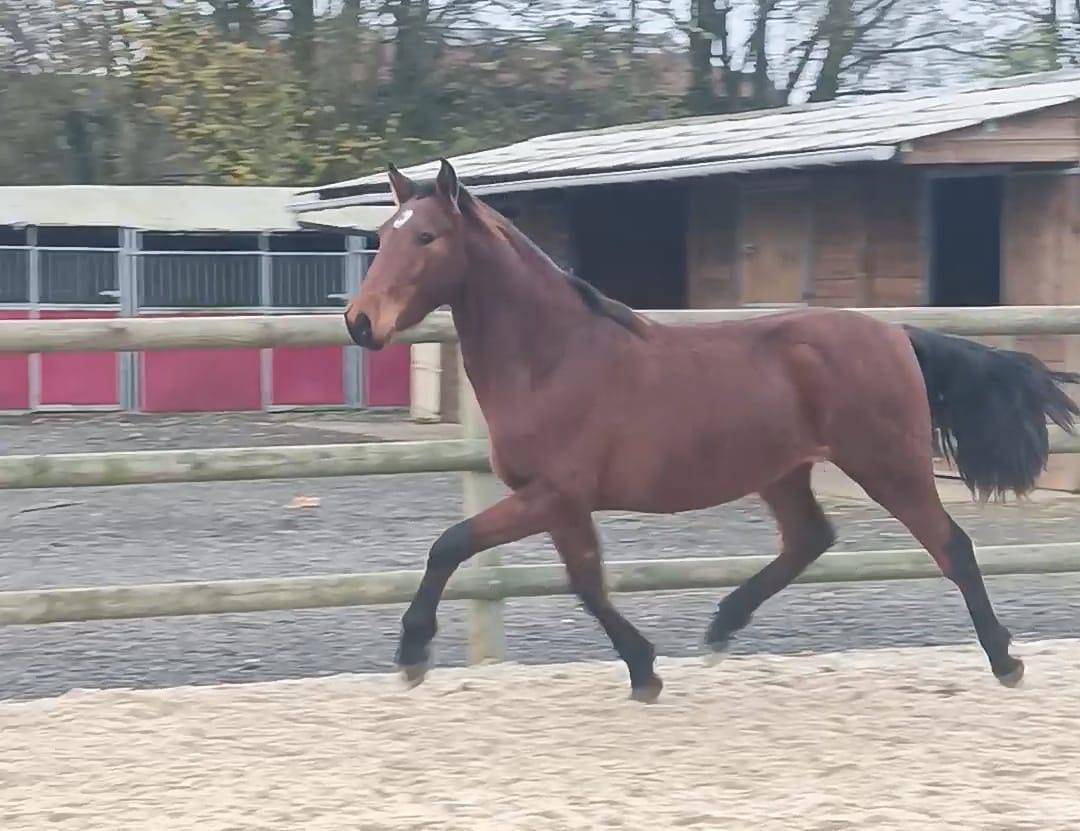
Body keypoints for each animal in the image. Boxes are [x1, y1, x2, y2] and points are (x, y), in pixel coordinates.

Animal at [344, 158, 1079, 702]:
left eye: (426, 238)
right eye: (384, 235)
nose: (359, 322)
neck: (554, 356)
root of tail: (895, 332)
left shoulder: (551, 494)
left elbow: (451, 544)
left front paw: (412, 651)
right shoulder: (560, 504)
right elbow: (586, 582)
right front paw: (644, 669)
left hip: (886, 466)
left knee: (951, 546)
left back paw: (1005, 659)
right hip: (784, 471)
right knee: (811, 539)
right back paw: (722, 628)